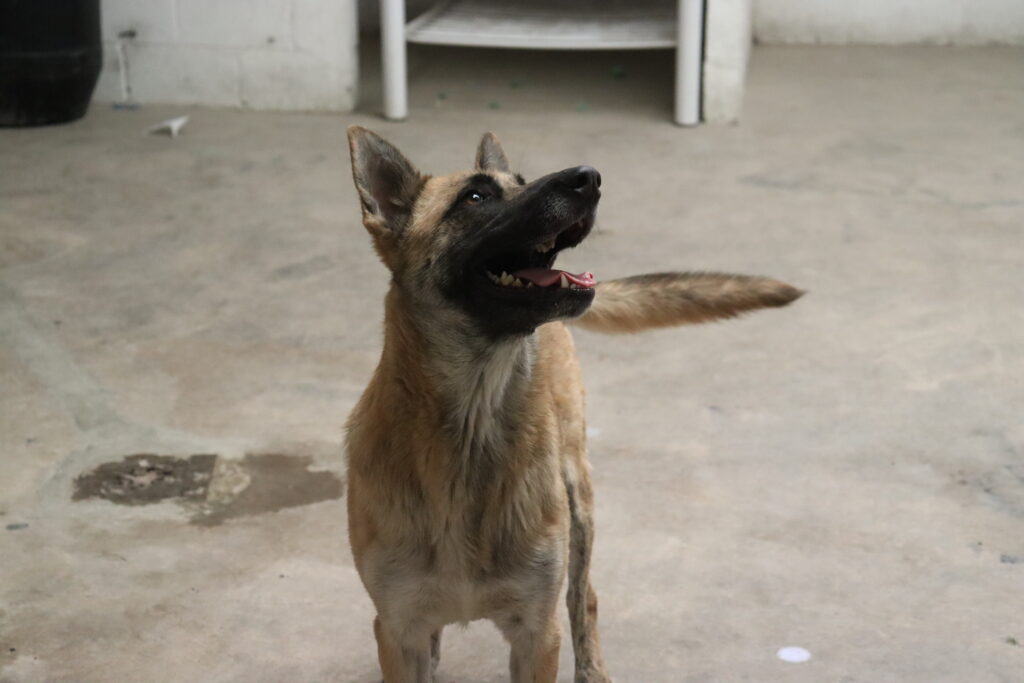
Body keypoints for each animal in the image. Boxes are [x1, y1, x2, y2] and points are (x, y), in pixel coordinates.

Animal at [344, 129, 798, 683]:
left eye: (520, 181)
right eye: (475, 197)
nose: (590, 177)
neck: (471, 430)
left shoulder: (537, 635)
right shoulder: (396, 631)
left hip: (579, 503)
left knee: (586, 598)